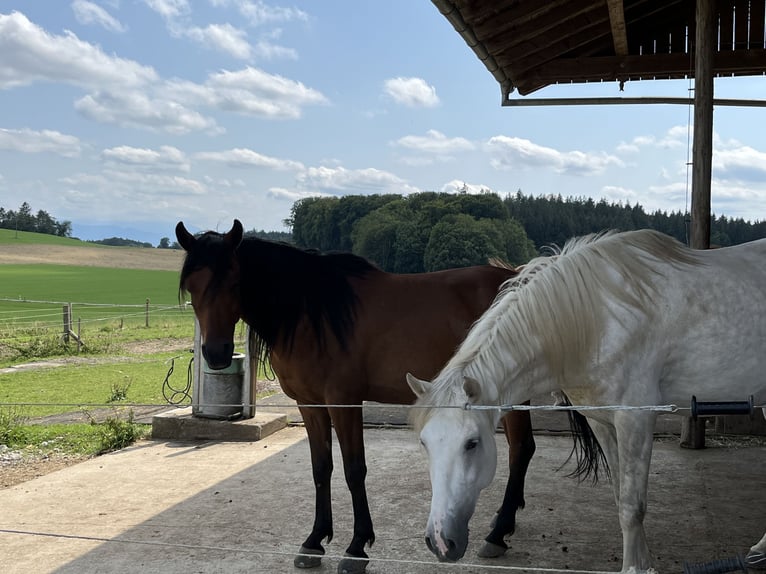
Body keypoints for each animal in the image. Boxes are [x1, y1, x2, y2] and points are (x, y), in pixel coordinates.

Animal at [178, 220, 600, 574]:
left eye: (233, 282)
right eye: (193, 288)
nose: (216, 354)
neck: (312, 315)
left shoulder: (344, 401)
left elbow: (354, 470)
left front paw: (356, 547)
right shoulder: (310, 405)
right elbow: (321, 469)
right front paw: (314, 541)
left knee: (522, 449)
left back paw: (497, 534)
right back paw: (502, 524)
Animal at [408, 231, 766, 574]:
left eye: (472, 443)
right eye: (424, 443)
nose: (441, 542)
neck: (597, 320)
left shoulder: (636, 420)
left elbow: (632, 508)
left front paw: (633, 567)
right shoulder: (603, 422)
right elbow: (621, 497)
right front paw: (644, 563)